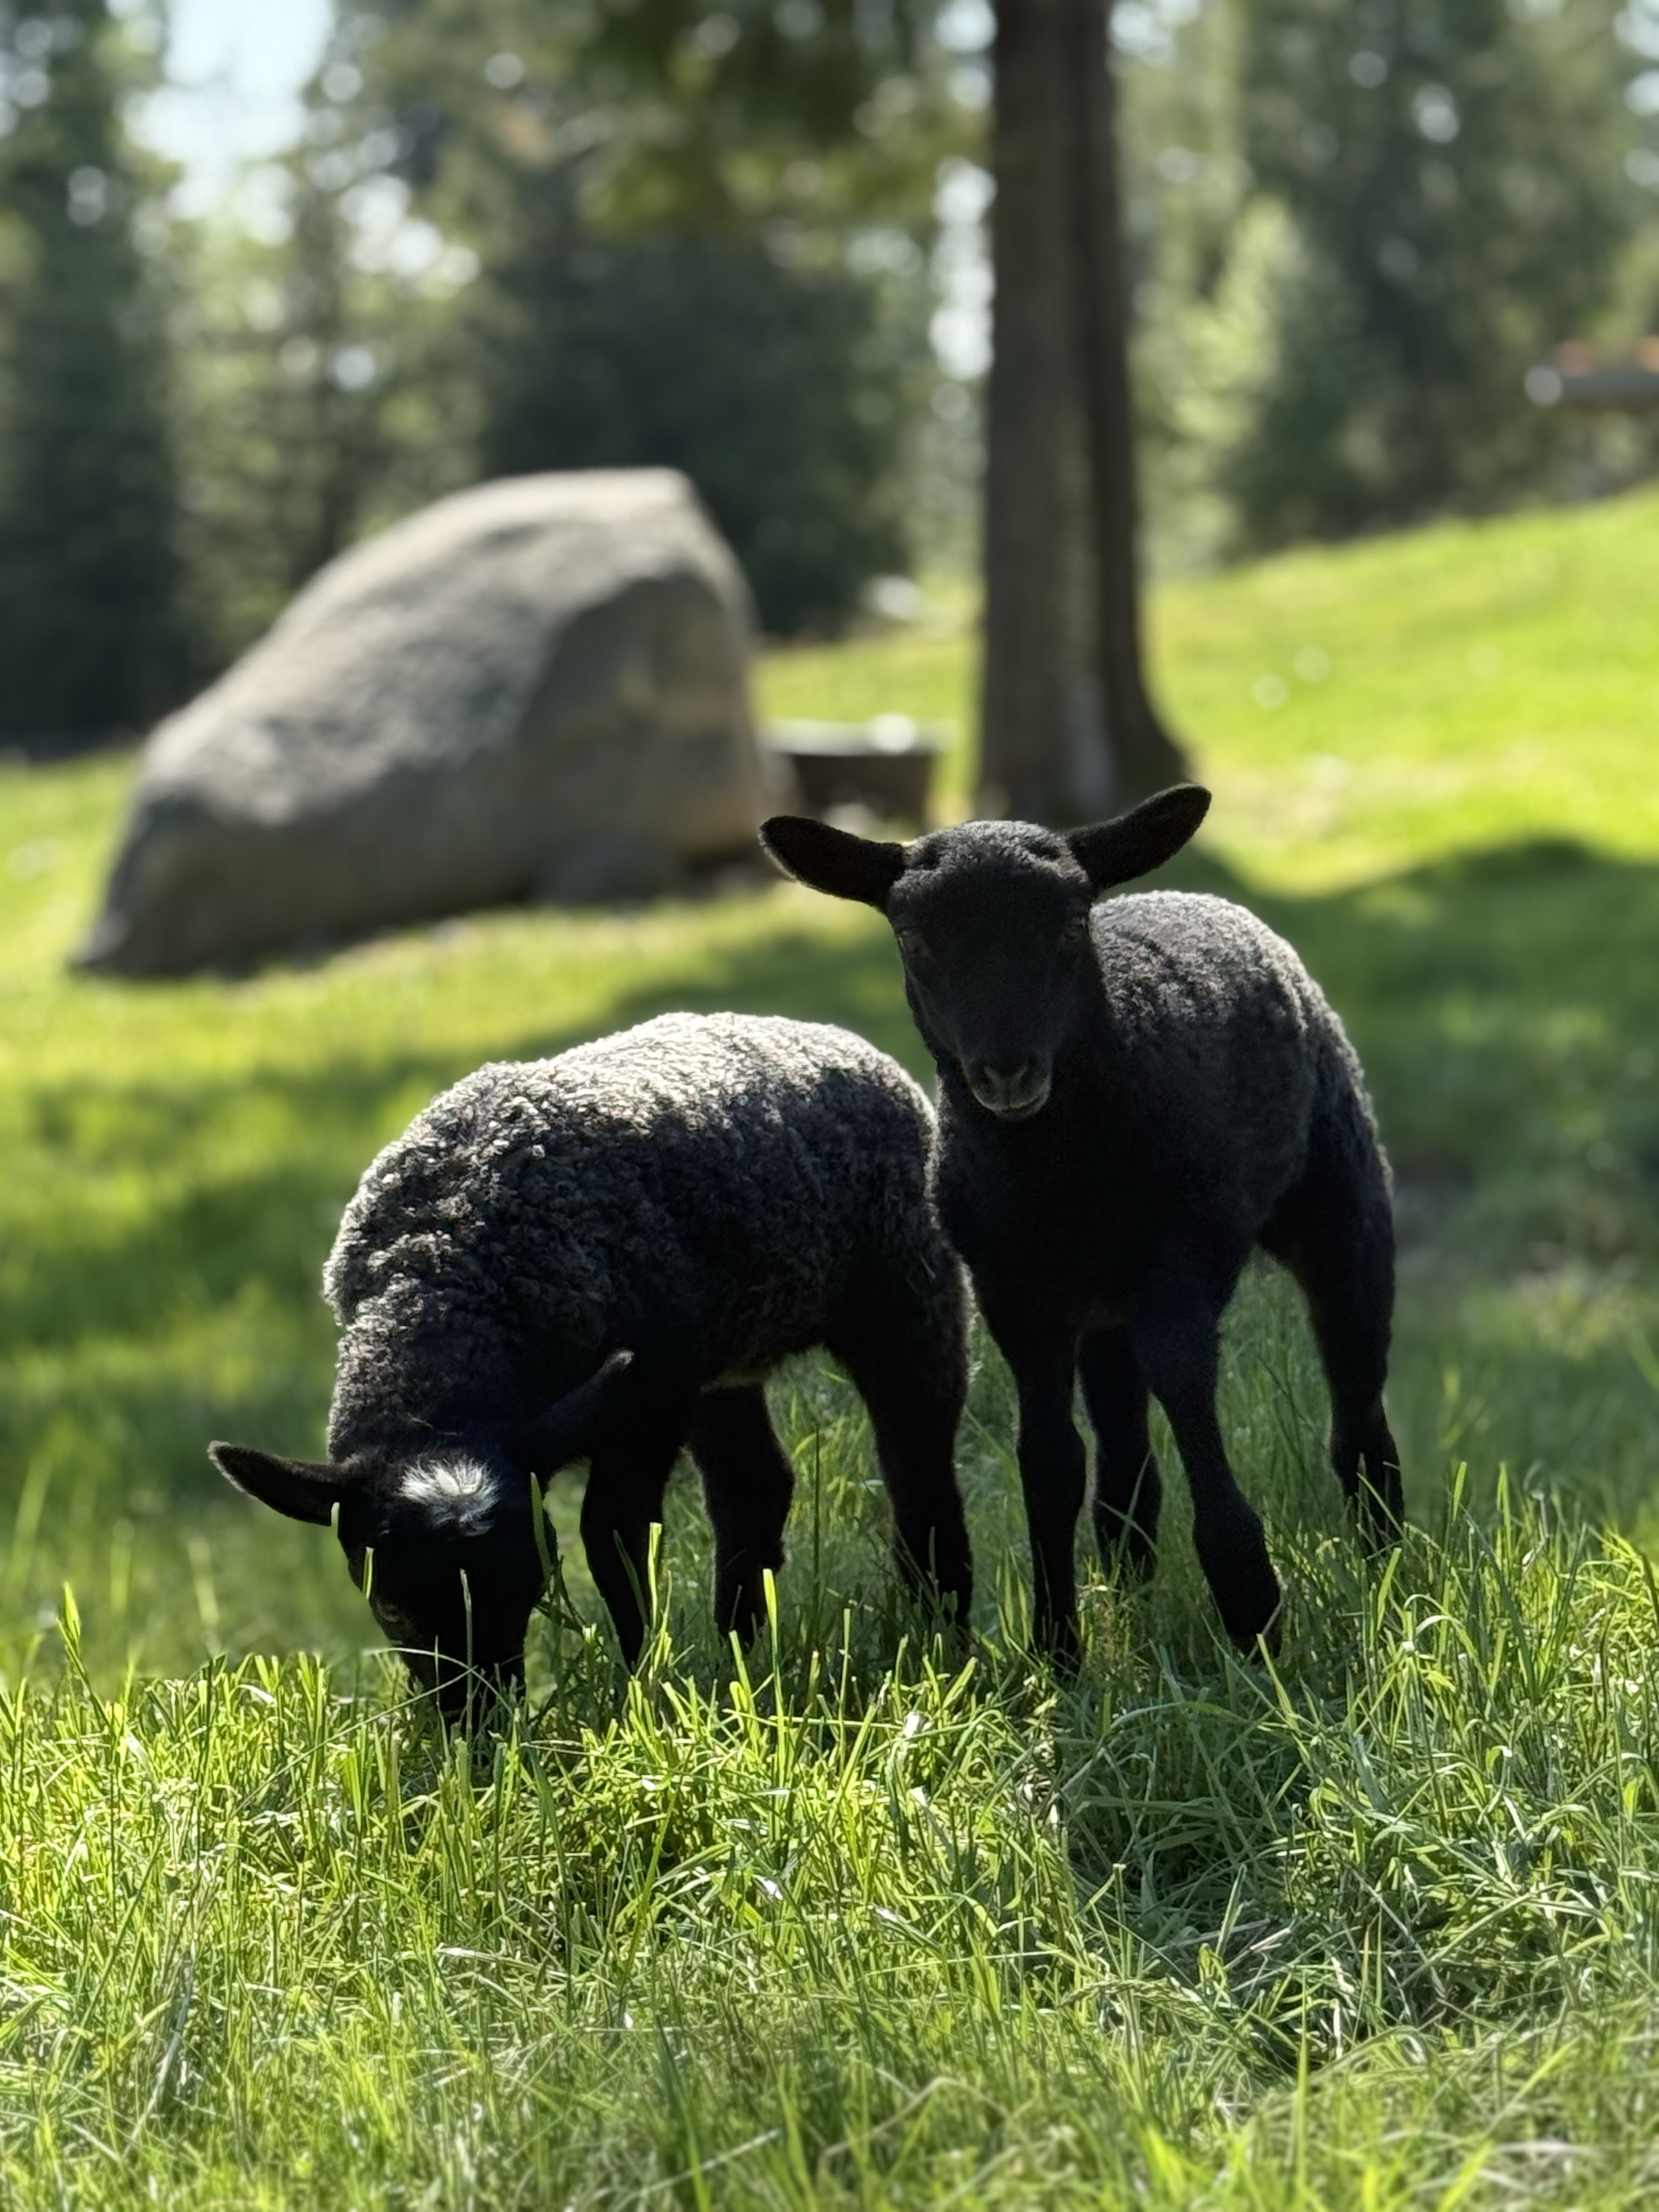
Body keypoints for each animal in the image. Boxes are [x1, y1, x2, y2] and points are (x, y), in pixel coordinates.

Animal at [210, 1012, 973, 1714]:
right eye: (391, 1609)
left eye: (532, 1587)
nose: (478, 1736)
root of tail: (829, 1035)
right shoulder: (660, 1379)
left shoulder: (647, 1394)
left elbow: (614, 1537)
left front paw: (640, 1686)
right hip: (719, 1352)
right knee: (754, 1486)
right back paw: (741, 1652)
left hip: (908, 1280)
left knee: (917, 1460)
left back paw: (942, 1636)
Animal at [760, 785, 1401, 1661]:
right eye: (910, 937)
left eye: (1069, 924)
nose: (1005, 1071)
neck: (1054, 1178)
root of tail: (1193, 895)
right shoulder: (1014, 1297)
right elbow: (1050, 1464)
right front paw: (1057, 1647)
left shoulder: (1171, 1267)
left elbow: (1189, 1405)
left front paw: (1254, 1613)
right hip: (1103, 1313)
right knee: (1126, 1458)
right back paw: (1128, 1589)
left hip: (1338, 1195)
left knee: (1358, 1413)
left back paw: (1389, 1570)